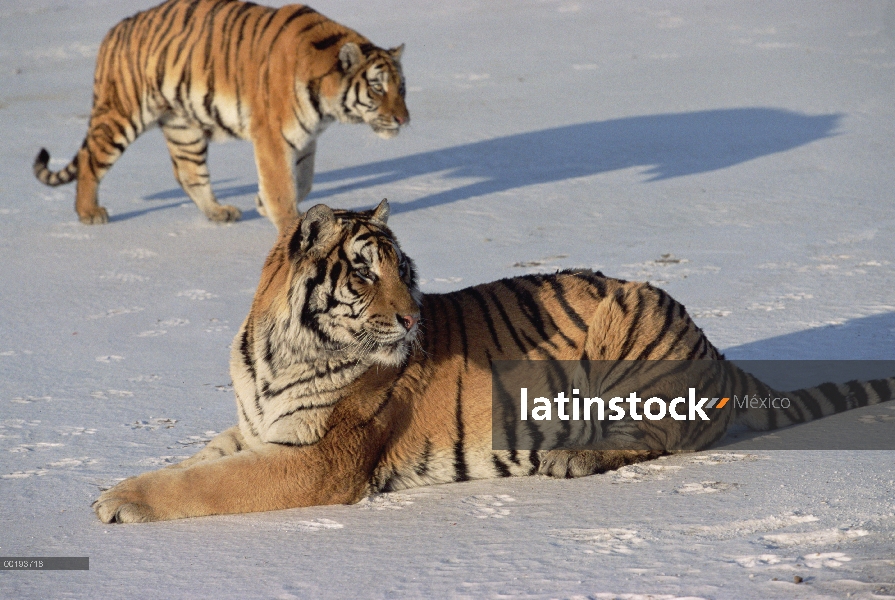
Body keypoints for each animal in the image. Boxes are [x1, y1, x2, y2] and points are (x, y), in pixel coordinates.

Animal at [31, 0, 410, 232]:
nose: (404, 121)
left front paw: (262, 204)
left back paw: (218, 212)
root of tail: (114, 30)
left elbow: (302, 181)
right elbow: (282, 184)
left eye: (402, 88)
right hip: (122, 114)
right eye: (377, 88)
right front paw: (289, 222)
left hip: (183, 126)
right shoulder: (272, 136)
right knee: (90, 160)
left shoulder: (304, 140)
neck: (326, 105)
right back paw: (89, 213)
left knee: (188, 173)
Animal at [93, 200, 895, 520]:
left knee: (659, 439)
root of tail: (713, 351)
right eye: (363, 274)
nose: (411, 318)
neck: (277, 352)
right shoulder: (257, 428)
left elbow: (203, 483)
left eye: (403, 272)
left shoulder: (315, 458)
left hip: (628, 328)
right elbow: (195, 462)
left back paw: (570, 458)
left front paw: (118, 502)